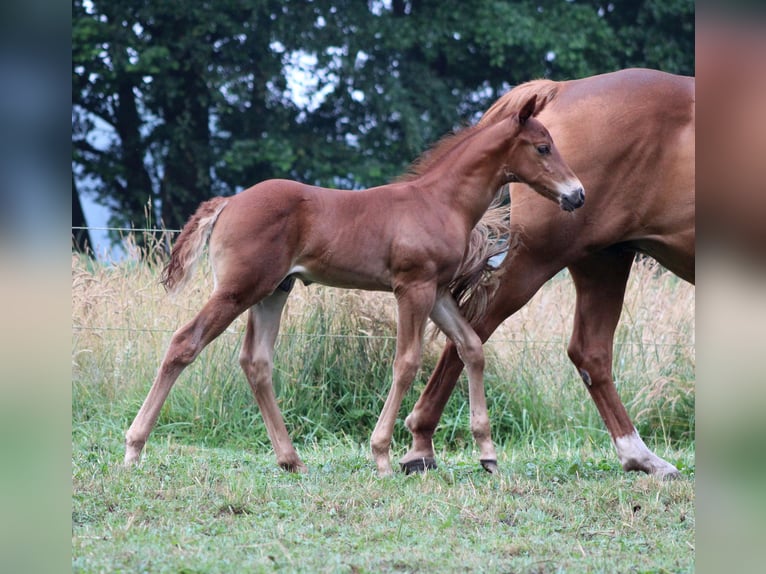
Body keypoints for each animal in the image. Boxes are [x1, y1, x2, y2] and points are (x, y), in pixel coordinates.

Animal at [123, 94, 585, 476]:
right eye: (543, 147)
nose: (577, 195)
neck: (439, 202)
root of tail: (229, 202)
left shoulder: (437, 291)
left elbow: (470, 347)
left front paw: (487, 453)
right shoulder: (412, 288)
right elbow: (406, 362)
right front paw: (381, 455)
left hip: (274, 291)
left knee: (256, 362)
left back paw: (291, 460)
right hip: (239, 289)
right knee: (185, 342)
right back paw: (134, 447)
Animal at [401, 68, 694, 479]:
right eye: (542, 149)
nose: (576, 194)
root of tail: (559, 89)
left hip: (603, 260)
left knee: (589, 353)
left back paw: (640, 457)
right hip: (541, 259)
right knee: (472, 329)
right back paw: (422, 444)